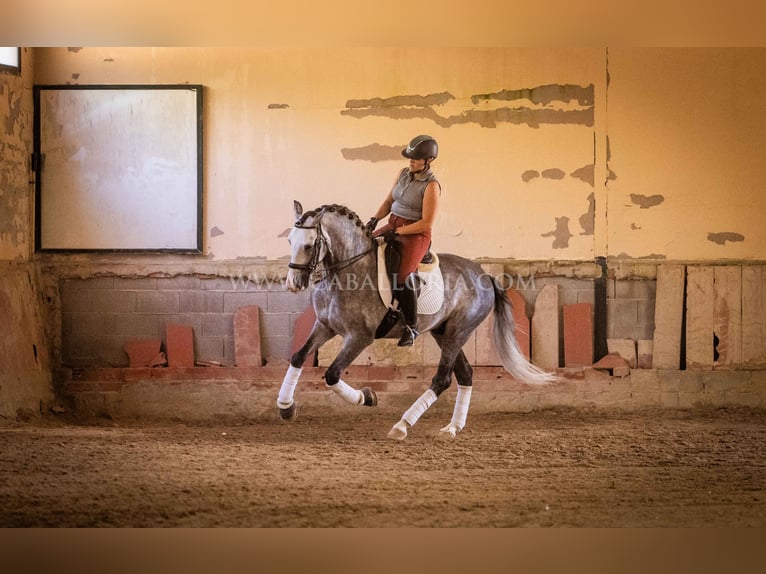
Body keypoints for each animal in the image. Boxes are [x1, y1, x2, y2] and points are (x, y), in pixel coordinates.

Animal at [280, 200, 556, 444]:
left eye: (308, 245)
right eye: (290, 241)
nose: (293, 284)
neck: (347, 270)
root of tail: (485, 275)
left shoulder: (359, 337)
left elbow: (332, 374)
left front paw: (367, 398)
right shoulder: (325, 326)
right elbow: (298, 356)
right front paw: (286, 407)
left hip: (458, 332)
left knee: (442, 379)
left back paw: (402, 425)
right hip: (443, 332)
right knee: (465, 374)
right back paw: (452, 428)